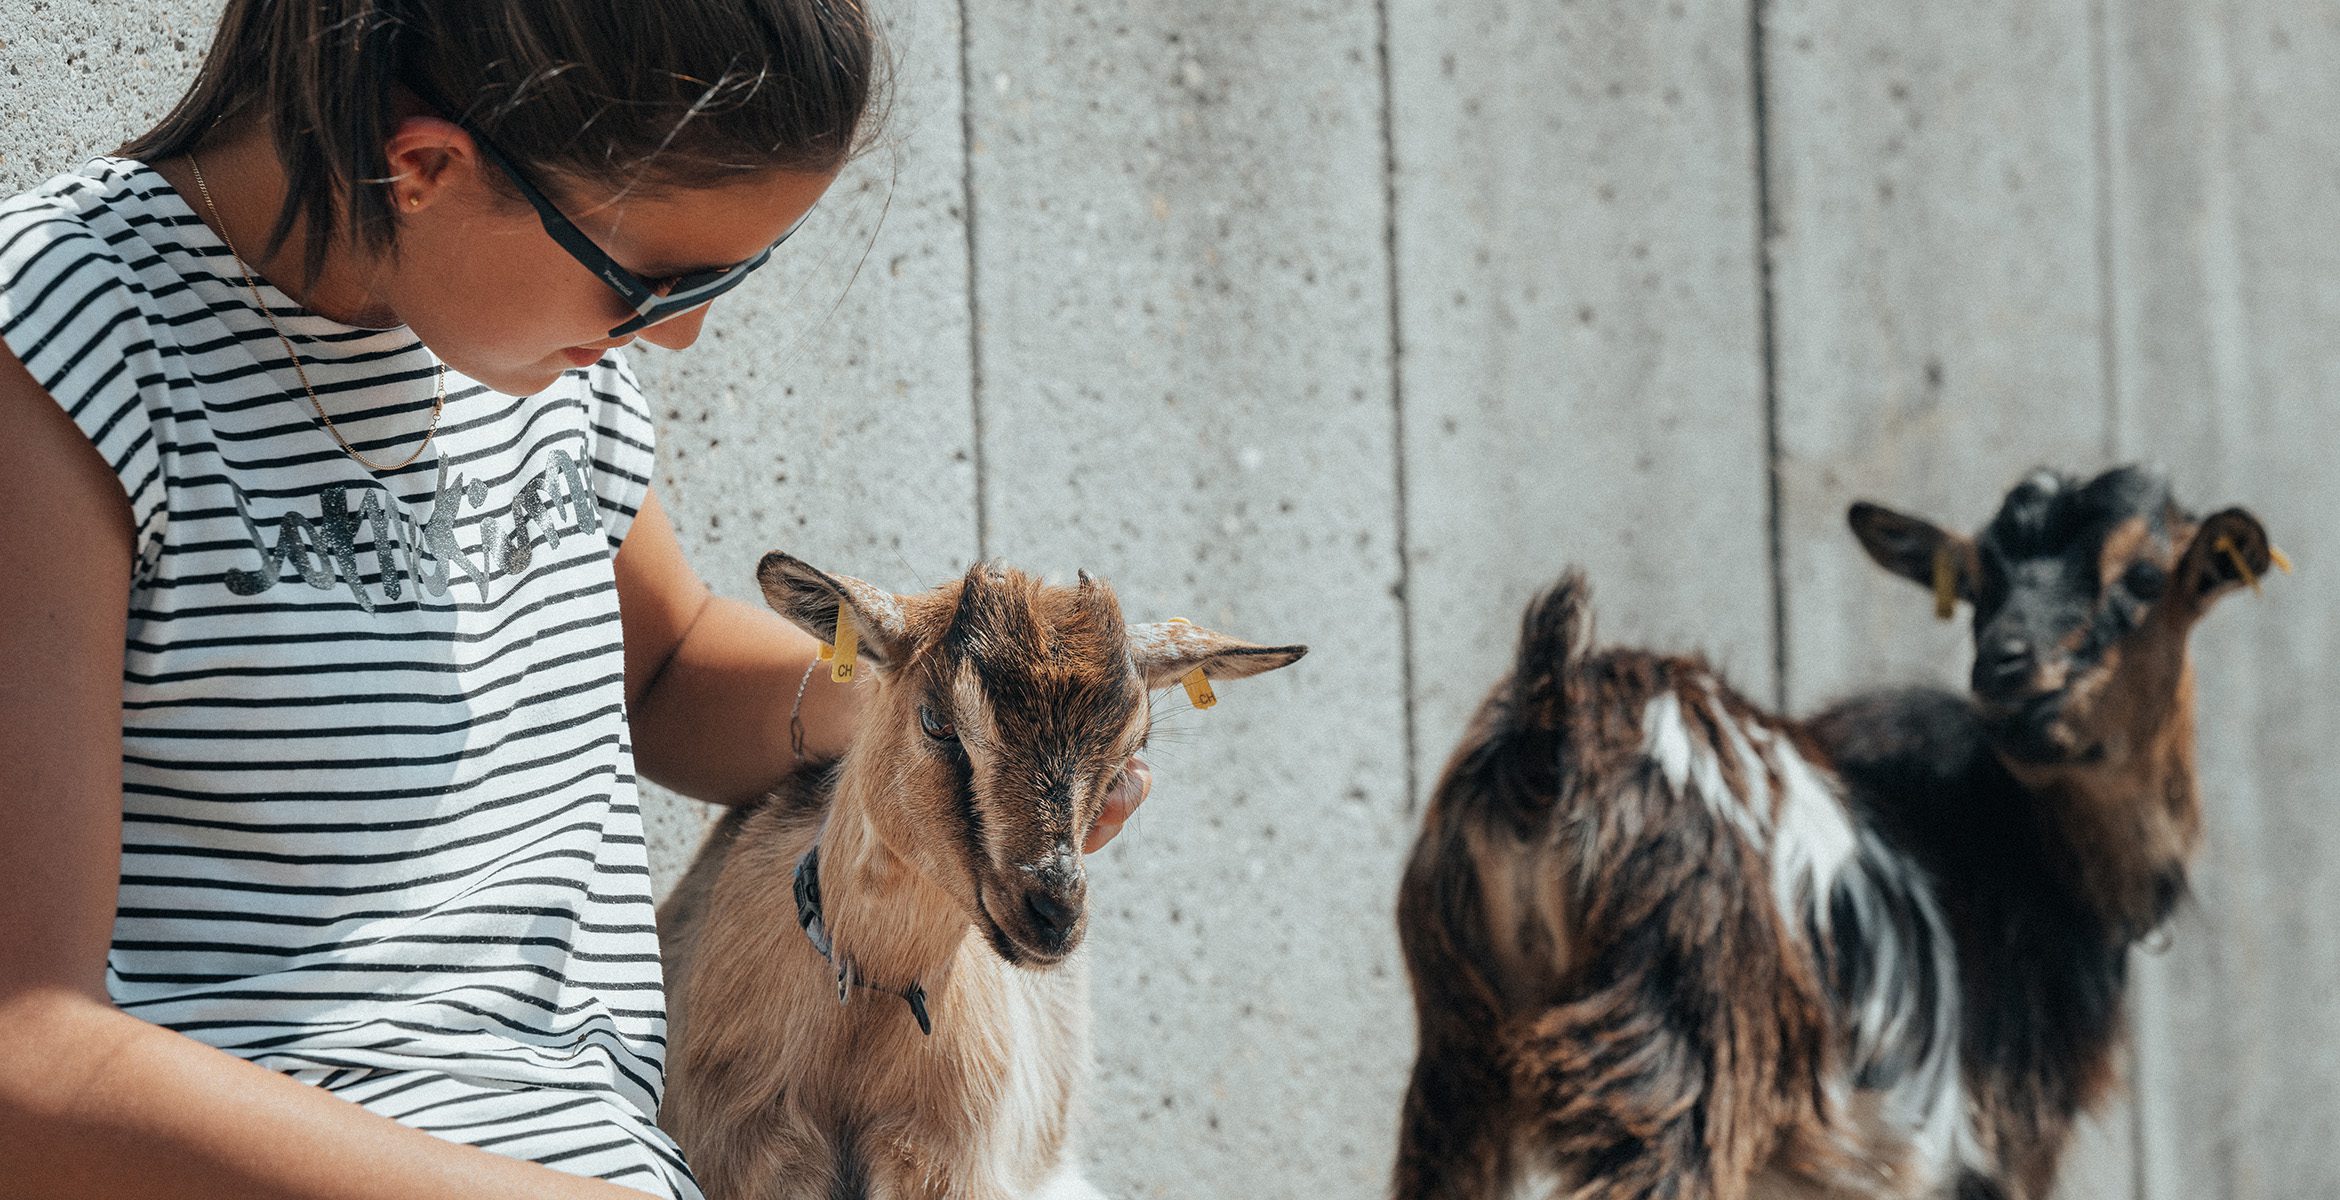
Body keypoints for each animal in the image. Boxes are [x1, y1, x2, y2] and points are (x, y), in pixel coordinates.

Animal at [1394, 465, 2274, 1197]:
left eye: (2147, 578)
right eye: (1977, 582)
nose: (2005, 665)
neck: (2035, 851)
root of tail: (1546, 739)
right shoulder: (1997, 1145)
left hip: (1457, 1059)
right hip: (1675, 1061)